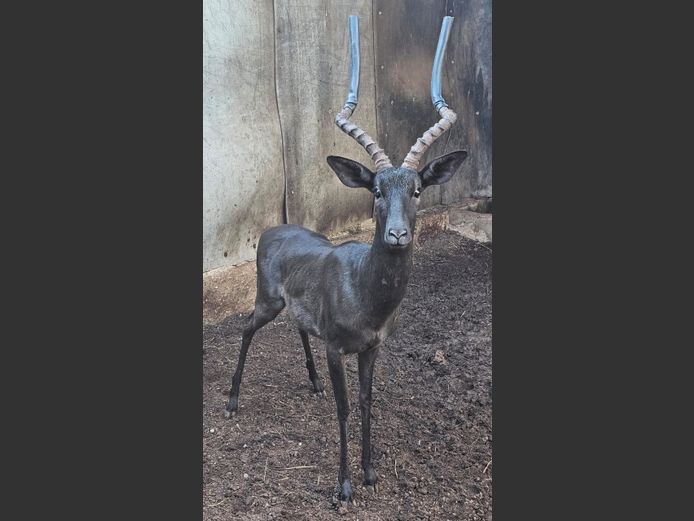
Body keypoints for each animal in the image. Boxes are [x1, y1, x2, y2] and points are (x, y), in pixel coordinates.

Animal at [224, 15, 467, 503]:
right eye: (376, 190)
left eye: (417, 189)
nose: (397, 235)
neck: (365, 291)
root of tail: (273, 229)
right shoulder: (337, 348)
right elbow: (345, 408)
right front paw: (344, 485)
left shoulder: (371, 348)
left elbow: (369, 401)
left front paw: (371, 472)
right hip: (266, 301)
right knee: (245, 329)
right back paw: (233, 401)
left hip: (292, 307)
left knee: (299, 326)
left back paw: (312, 382)